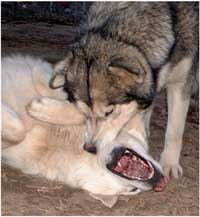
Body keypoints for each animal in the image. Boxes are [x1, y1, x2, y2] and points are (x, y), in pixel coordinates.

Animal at [54, 2, 199, 178]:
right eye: (83, 111)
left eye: (109, 112)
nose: (90, 148)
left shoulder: (181, 83)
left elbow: (174, 130)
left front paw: (170, 163)